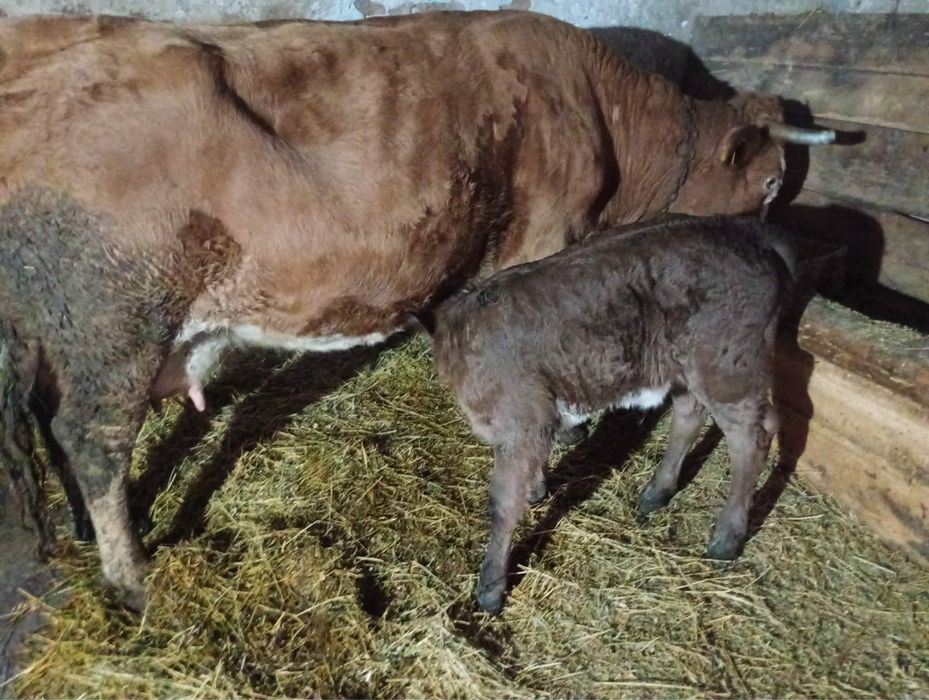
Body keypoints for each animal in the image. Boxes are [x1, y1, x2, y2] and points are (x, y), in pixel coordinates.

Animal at [430, 215, 794, 614]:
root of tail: (750, 233)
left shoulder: (520, 420)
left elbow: (502, 505)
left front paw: (490, 589)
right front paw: (537, 489)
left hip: (727, 366)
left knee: (752, 436)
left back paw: (726, 539)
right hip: (685, 364)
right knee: (689, 414)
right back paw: (657, 493)